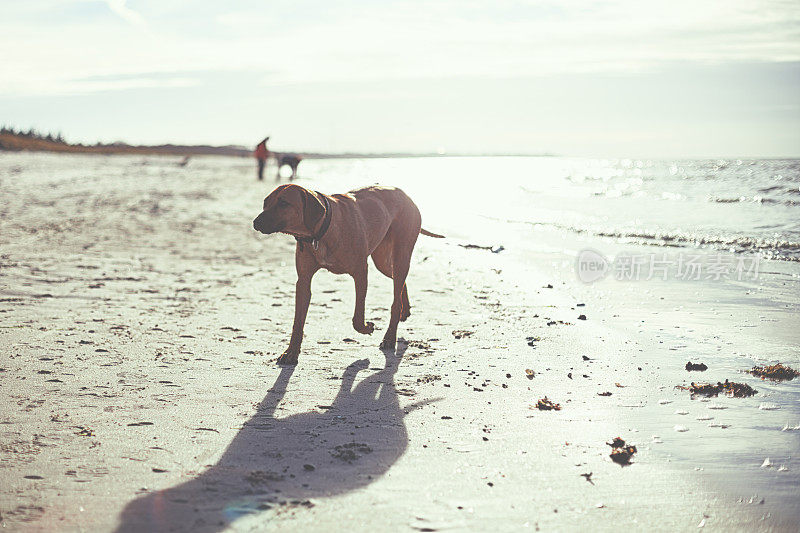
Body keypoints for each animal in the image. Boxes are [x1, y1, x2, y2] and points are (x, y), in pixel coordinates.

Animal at [253, 185, 444, 364]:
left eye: (283, 203)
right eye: (265, 203)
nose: (255, 222)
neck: (321, 231)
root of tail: (404, 193)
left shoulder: (360, 272)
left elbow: (357, 318)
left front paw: (367, 327)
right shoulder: (303, 281)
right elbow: (297, 322)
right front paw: (291, 352)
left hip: (401, 252)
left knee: (395, 299)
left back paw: (390, 336)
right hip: (382, 260)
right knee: (399, 279)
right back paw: (406, 309)